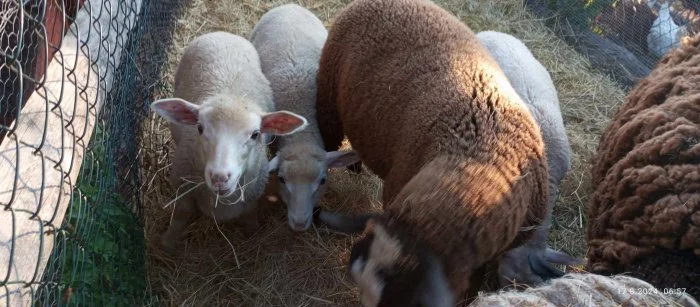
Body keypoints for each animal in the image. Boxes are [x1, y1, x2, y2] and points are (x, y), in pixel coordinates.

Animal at [152, 31, 308, 253]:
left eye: (255, 134)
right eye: (200, 128)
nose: (219, 177)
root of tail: (222, 33)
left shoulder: (252, 195)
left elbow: (250, 215)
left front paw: (253, 233)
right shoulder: (183, 189)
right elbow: (180, 216)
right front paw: (167, 243)